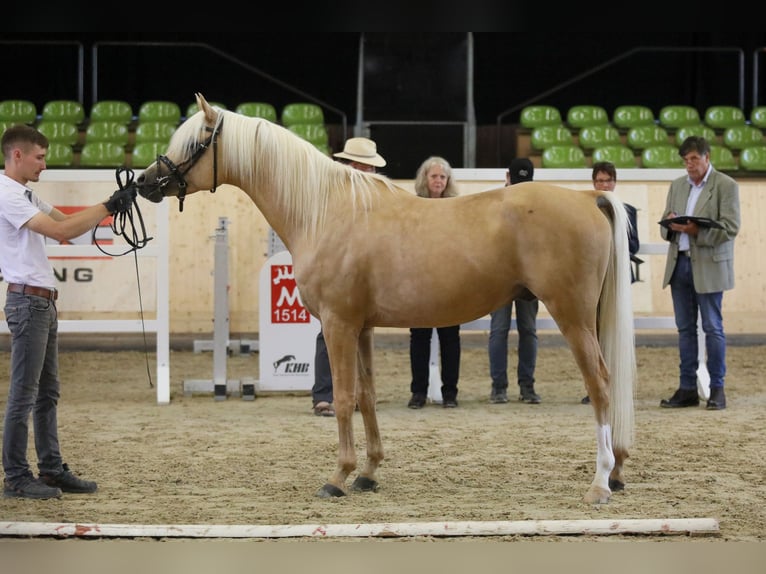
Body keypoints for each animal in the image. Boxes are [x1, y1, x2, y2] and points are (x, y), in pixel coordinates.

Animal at [136, 94, 636, 504]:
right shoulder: (362, 327)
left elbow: (342, 398)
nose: (145, 182)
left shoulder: (338, 324)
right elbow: (367, 394)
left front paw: (338, 477)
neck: (325, 212)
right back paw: (617, 473)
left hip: (572, 317)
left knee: (601, 385)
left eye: (196, 140)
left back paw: (599, 482)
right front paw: (369, 472)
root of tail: (588, 197)